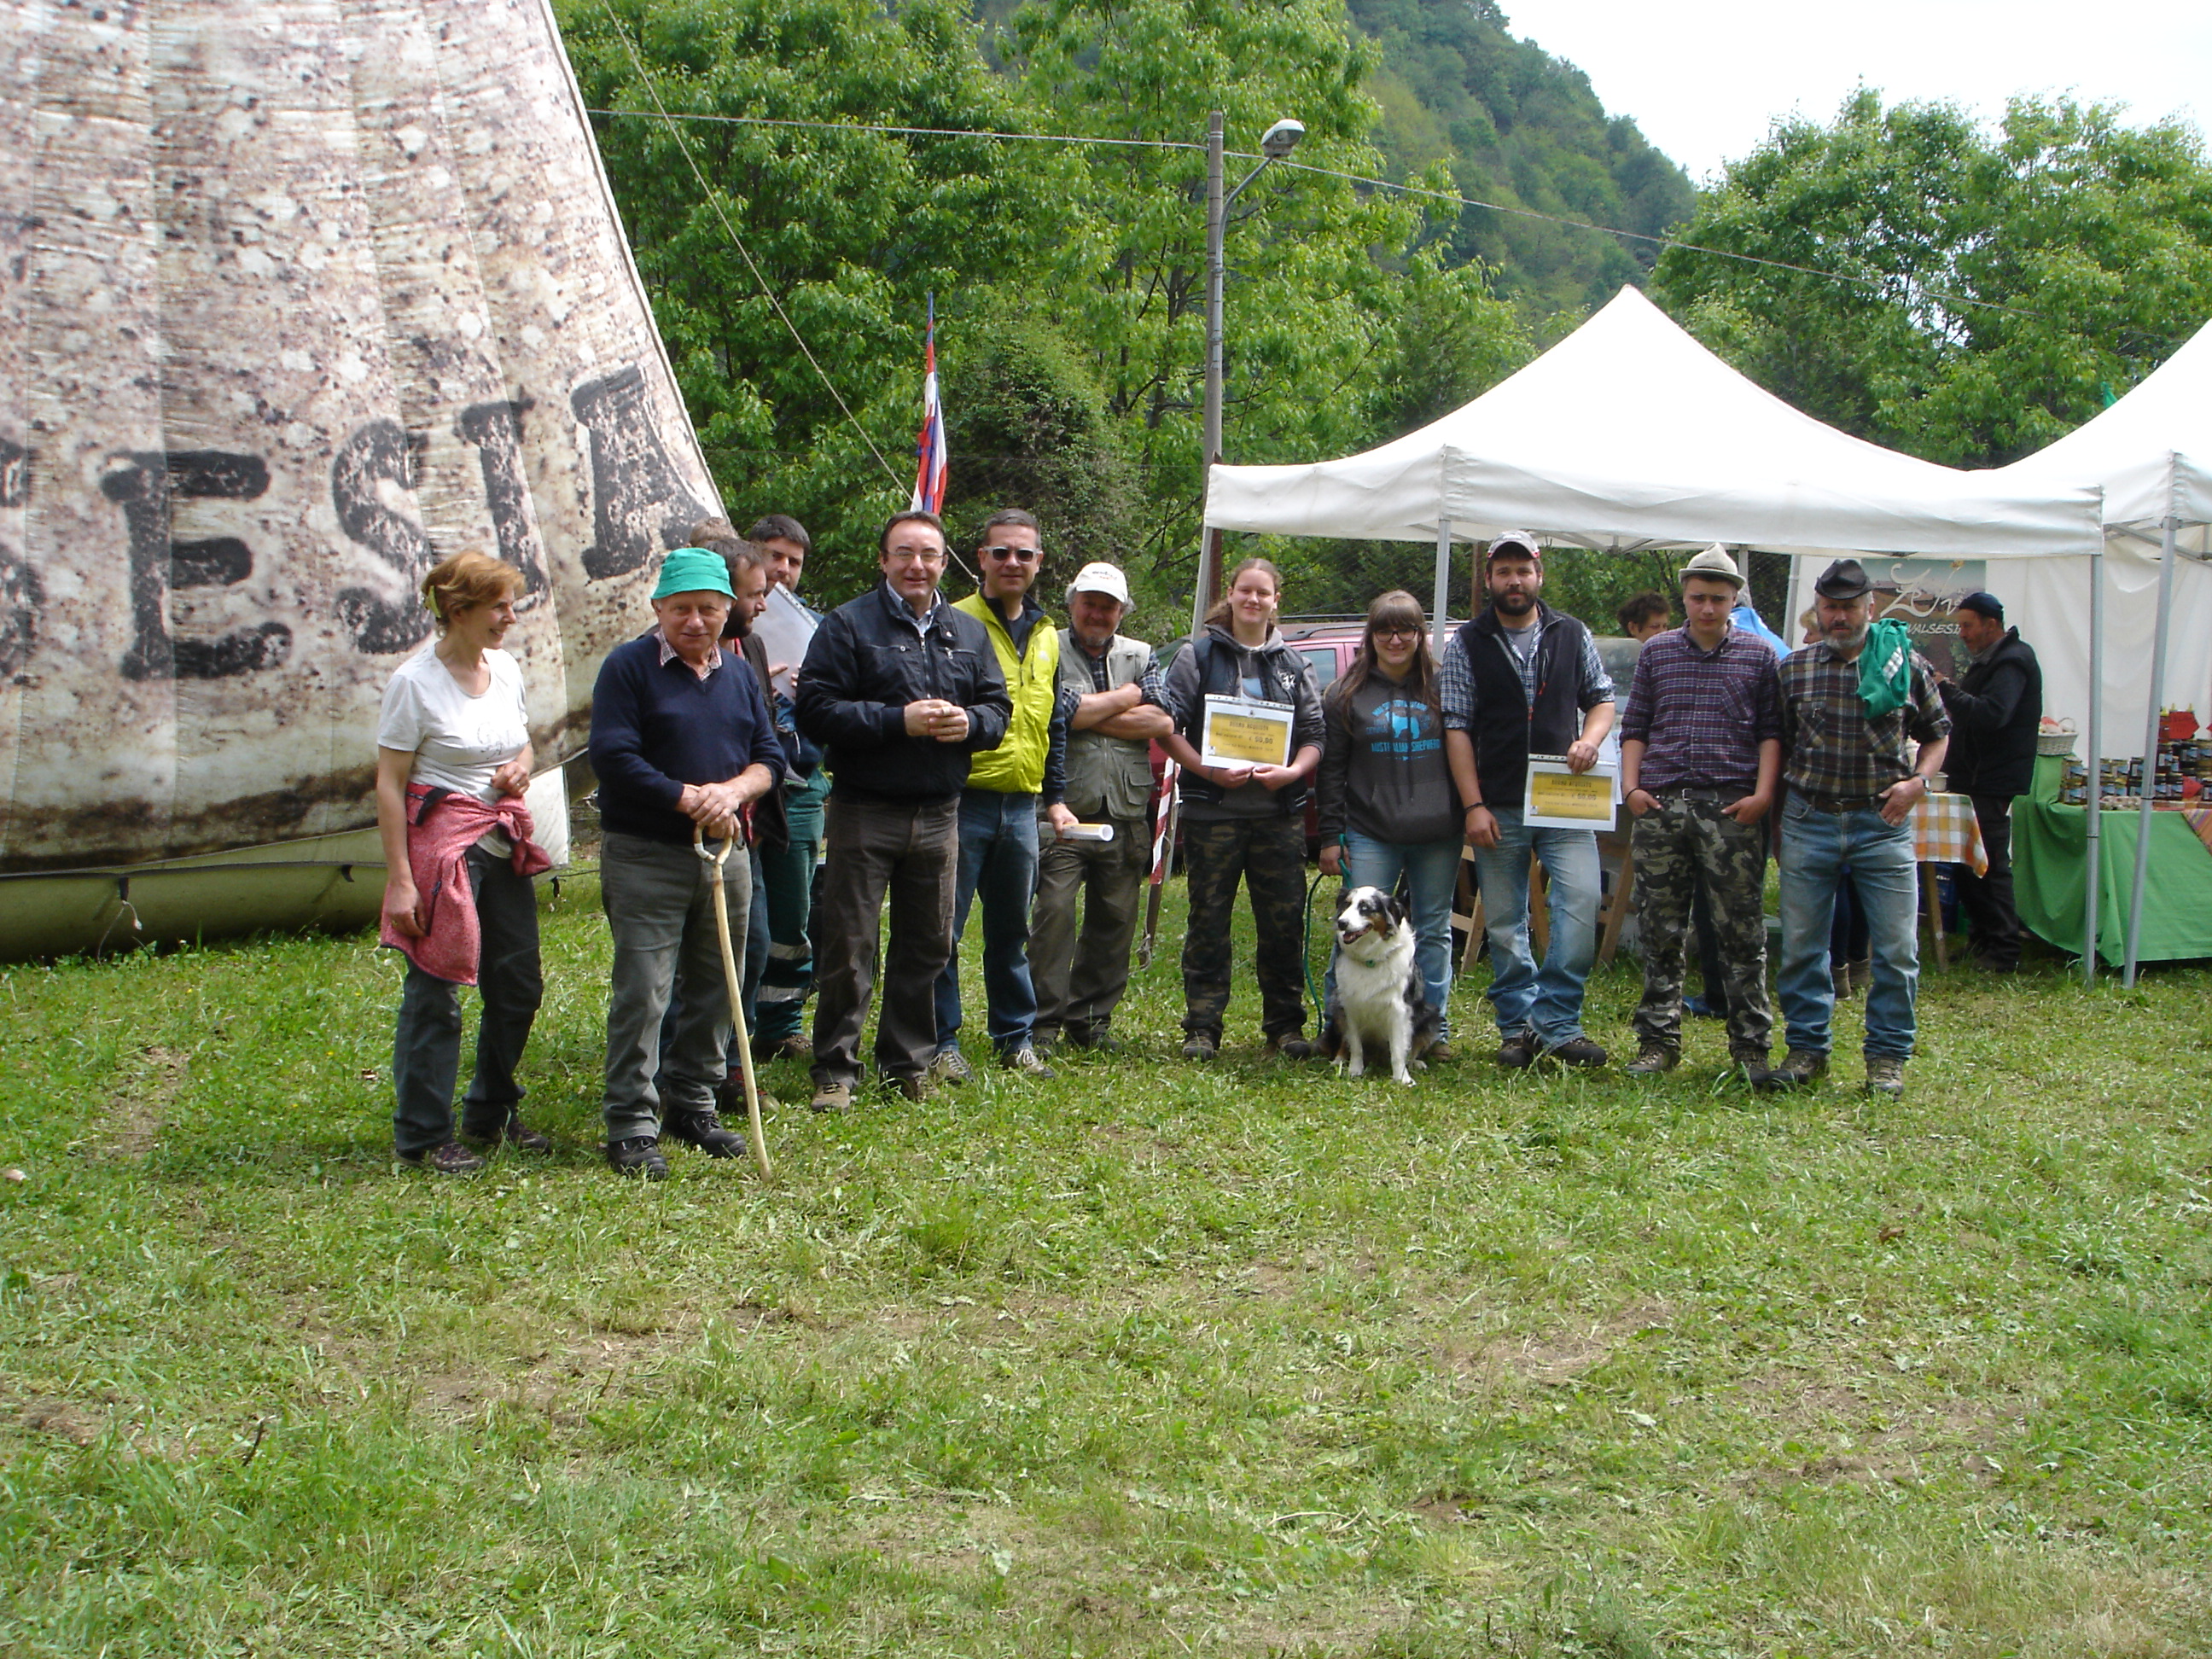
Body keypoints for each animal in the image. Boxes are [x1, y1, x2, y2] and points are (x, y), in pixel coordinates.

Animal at [1321, 885, 1442, 1085]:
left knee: (1414, 1047)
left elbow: (1398, 1050)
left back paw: (1415, 1063)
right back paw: (1338, 1060)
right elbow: (1355, 1044)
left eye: (1365, 908)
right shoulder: (1350, 1006)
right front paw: (1355, 1070)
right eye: (1346, 904)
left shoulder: (1399, 1010)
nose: (1341, 923)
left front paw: (1402, 1078)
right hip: (1335, 1003)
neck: (1370, 958)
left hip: (1430, 1015)